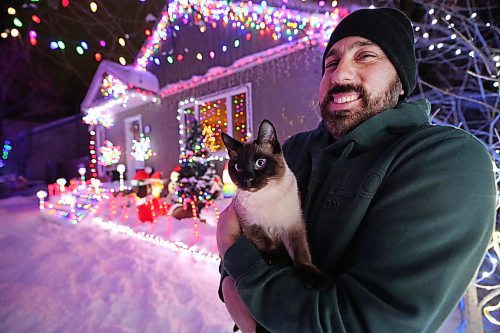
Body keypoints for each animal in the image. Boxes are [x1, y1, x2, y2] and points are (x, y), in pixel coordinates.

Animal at [223, 119, 332, 290]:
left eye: (260, 163)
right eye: (238, 167)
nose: (248, 180)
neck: (266, 195)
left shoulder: (293, 226)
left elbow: (301, 254)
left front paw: (315, 278)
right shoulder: (251, 226)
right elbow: (266, 243)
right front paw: (279, 259)